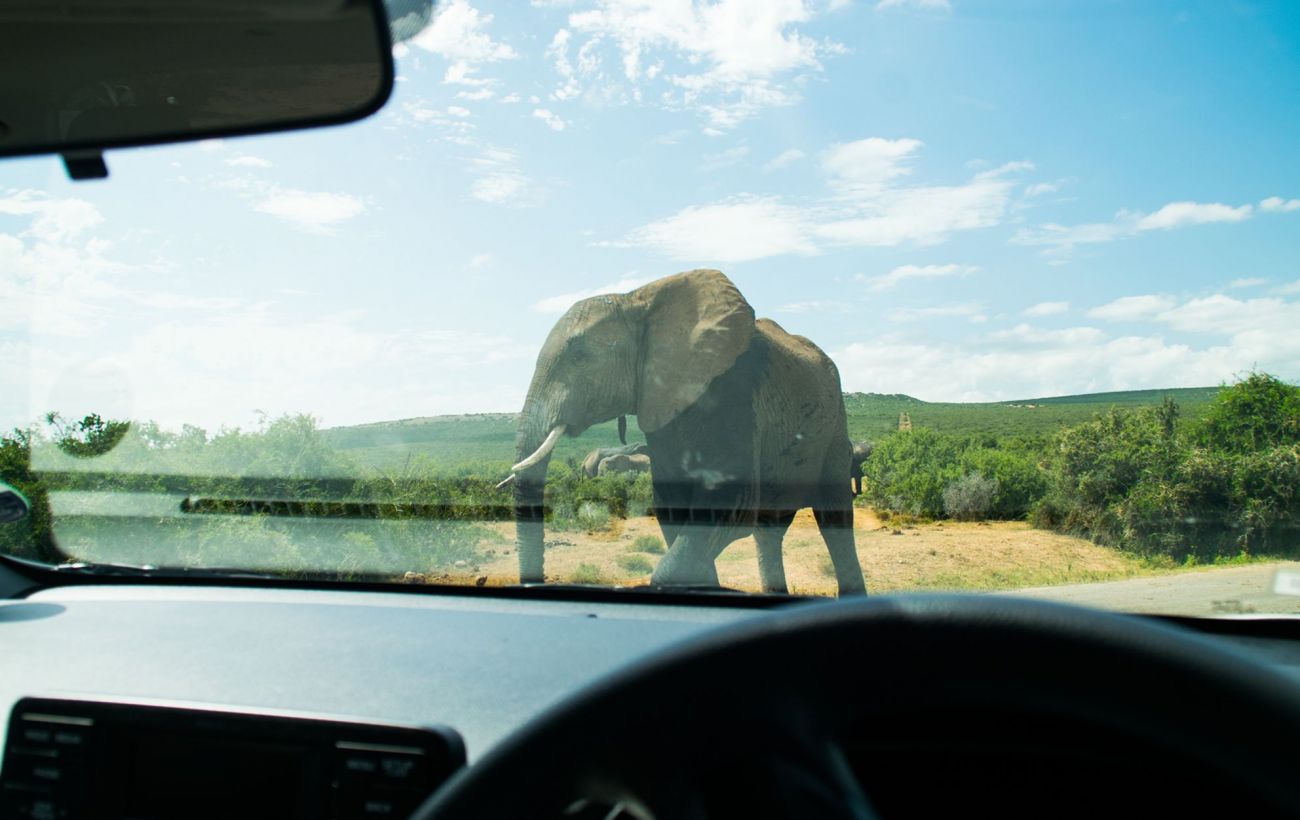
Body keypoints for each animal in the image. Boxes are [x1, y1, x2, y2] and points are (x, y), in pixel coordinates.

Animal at [501, 269, 868, 597]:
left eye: (579, 356)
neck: (636, 300)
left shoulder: (733, 390)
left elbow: (731, 504)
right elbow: (673, 508)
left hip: (835, 424)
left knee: (834, 519)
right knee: (768, 529)